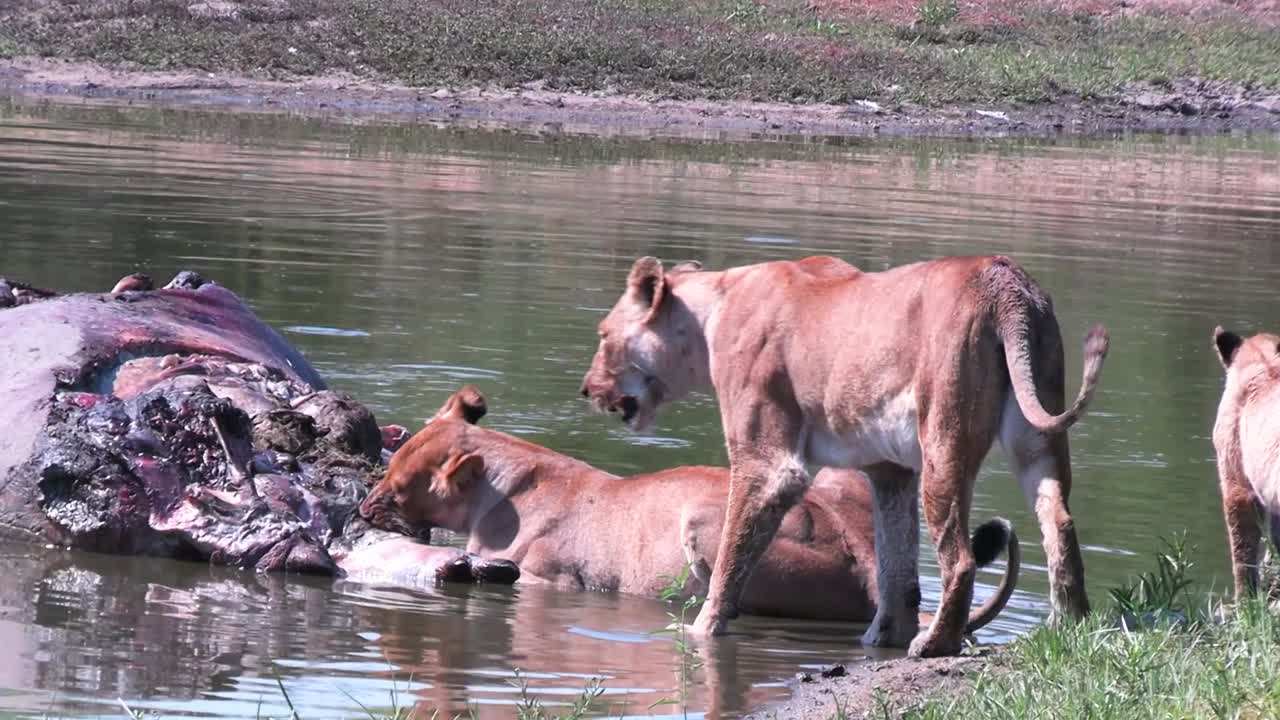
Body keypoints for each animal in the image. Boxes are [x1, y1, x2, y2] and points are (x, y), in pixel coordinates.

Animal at [579, 254, 1108, 657]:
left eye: (603, 335)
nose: (586, 389)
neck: (712, 309)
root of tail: (1005, 282)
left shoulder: (768, 463)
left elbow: (731, 554)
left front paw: (701, 631)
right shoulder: (889, 469)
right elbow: (897, 566)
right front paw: (883, 638)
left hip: (943, 440)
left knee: (960, 559)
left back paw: (935, 645)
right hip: (1035, 435)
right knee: (1059, 521)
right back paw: (1069, 626)